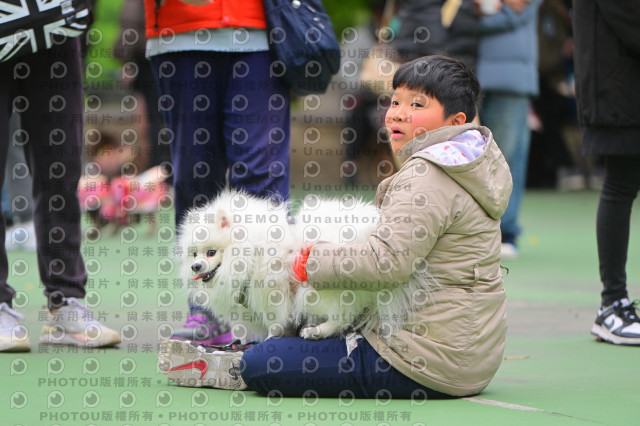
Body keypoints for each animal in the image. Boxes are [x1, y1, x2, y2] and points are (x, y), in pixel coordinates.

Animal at [177, 189, 434, 340]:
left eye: (211, 252)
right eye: (194, 253)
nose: (196, 266)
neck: (251, 252)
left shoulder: (272, 293)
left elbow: (275, 323)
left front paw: (267, 341)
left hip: (316, 290)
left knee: (343, 316)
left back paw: (315, 331)